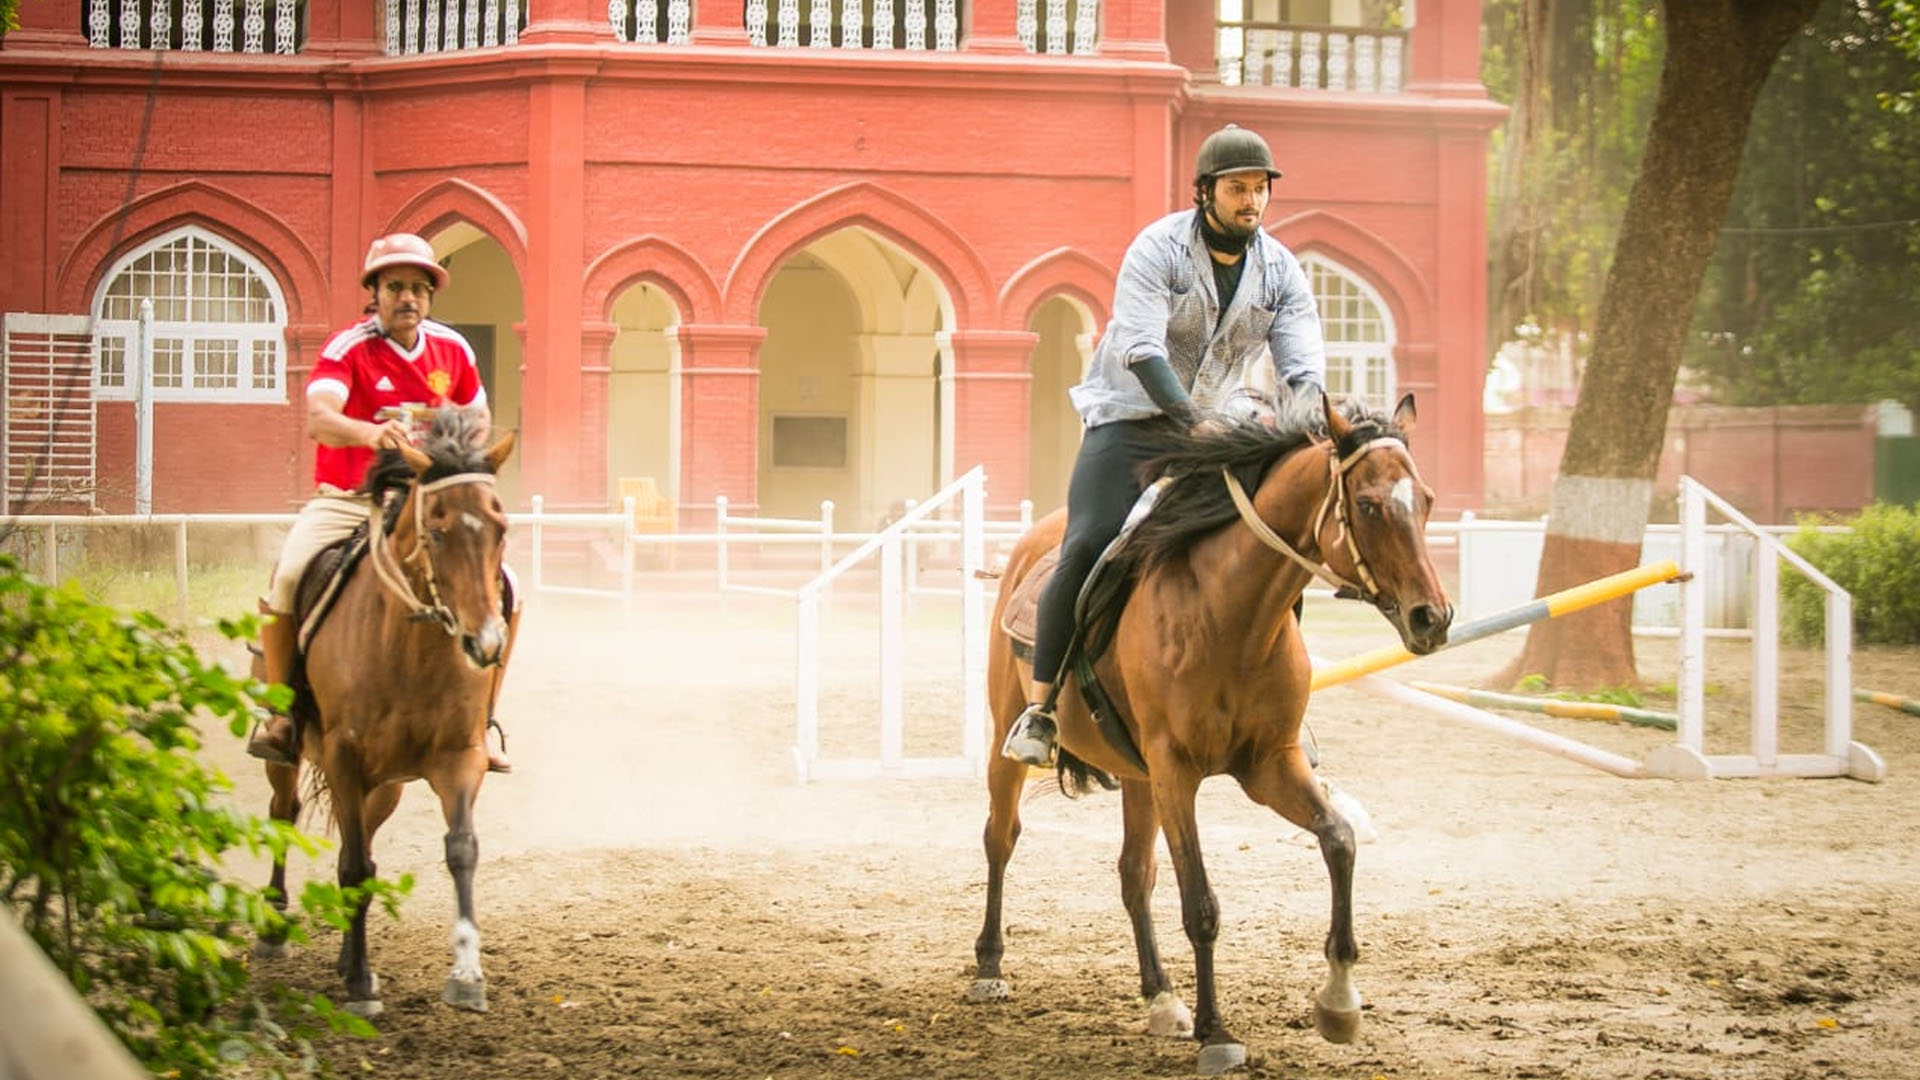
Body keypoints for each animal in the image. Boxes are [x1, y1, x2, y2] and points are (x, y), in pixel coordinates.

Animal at [263, 407, 522, 1014]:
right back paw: (274, 924)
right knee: (284, 814)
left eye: (500, 527)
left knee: (358, 840)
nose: (486, 642)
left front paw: (467, 973)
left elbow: (460, 849)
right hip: (294, 757)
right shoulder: (343, 756)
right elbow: (356, 865)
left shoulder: (458, 757)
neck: (410, 646)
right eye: (438, 529)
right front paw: (360, 982)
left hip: (385, 785)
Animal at [975, 388, 1451, 1068]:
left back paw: (1160, 997)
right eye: (1367, 503)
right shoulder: (1177, 770)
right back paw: (990, 965)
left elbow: (1338, 840)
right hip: (1006, 744)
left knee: (1133, 874)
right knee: (1001, 837)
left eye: (1428, 499)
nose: (1432, 618)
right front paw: (1218, 1032)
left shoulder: (1270, 764)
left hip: (1138, 776)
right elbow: (1200, 901)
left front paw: (1338, 1001)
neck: (1231, 615)